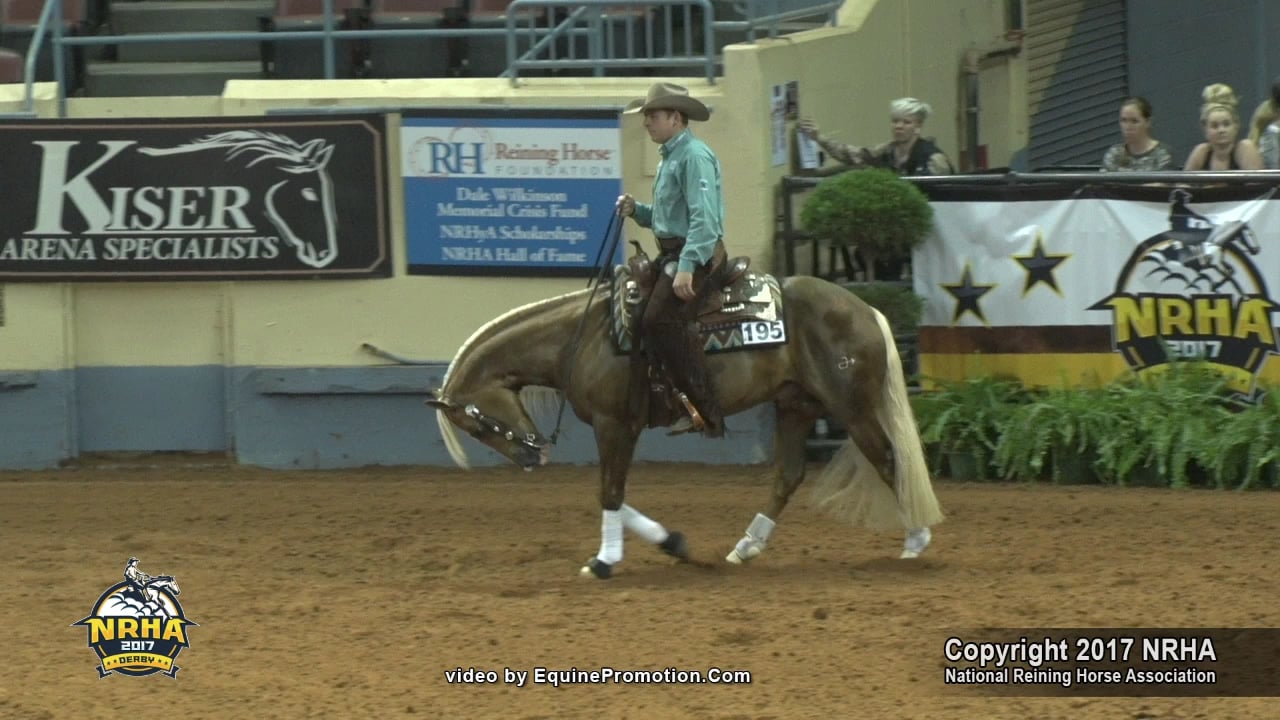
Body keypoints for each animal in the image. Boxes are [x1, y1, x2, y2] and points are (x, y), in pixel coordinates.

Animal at [430, 270, 942, 576]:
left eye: (475, 423)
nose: (531, 455)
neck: (582, 338)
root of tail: (866, 309)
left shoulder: (615, 423)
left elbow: (609, 492)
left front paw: (604, 560)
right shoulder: (616, 428)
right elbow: (614, 493)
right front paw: (670, 542)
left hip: (851, 408)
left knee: (888, 459)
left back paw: (916, 539)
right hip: (794, 405)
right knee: (789, 476)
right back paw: (746, 547)